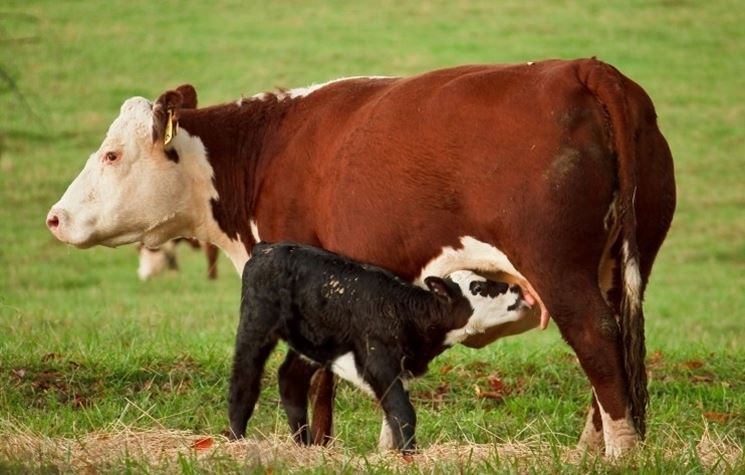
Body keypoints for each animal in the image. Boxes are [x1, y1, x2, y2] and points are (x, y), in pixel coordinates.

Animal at [230, 242, 528, 454]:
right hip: (255, 324)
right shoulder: (379, 361)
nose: (517, 289)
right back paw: (236, 440)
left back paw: (303, 445)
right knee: (244, 381)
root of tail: (267, 247)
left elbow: (394, 413)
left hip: (311, 341)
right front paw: (410, 455)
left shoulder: (402, 367)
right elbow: (404, 412)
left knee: (291, 379)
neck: (406, 312)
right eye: (478, 287)